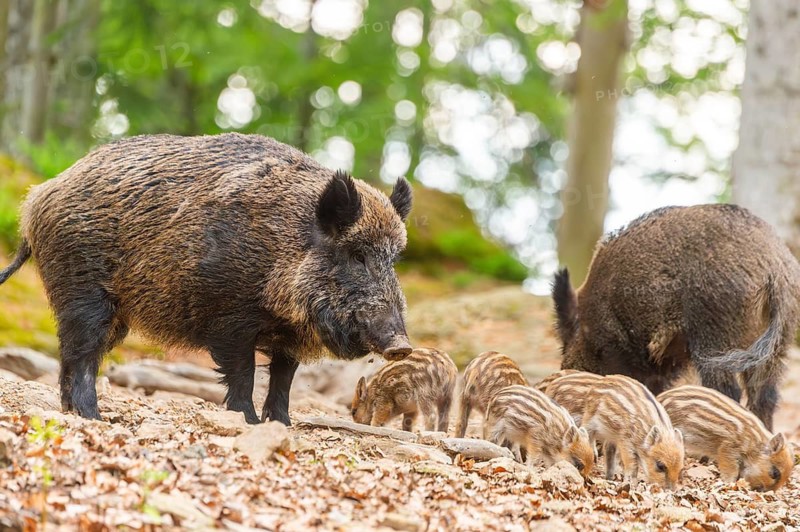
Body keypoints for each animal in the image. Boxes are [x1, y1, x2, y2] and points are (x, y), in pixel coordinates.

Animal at [0, 133, 414, 425]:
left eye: (393, 259)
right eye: (356, 255)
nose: (402, 346)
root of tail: (36, 199)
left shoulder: (289, 337)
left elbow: (283, 379)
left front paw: (282, 424)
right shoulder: (229, 319)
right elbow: (244, 373)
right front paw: (248, 421)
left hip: (109, 311)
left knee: (73, 355)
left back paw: (74, 412)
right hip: (83, 291)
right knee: (82, 354)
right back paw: (95, 418)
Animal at [553, 204, 800, 431]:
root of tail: (774, 268)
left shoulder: (618, 348)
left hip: (715, 334)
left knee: (728, 389)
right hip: (781, 339)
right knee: (765, 395)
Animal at [658, 385, 795, 491]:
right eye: (775, 473)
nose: (765, 492)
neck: (754, 442)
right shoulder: (728, 448)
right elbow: (730, 469)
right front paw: (729, 483)